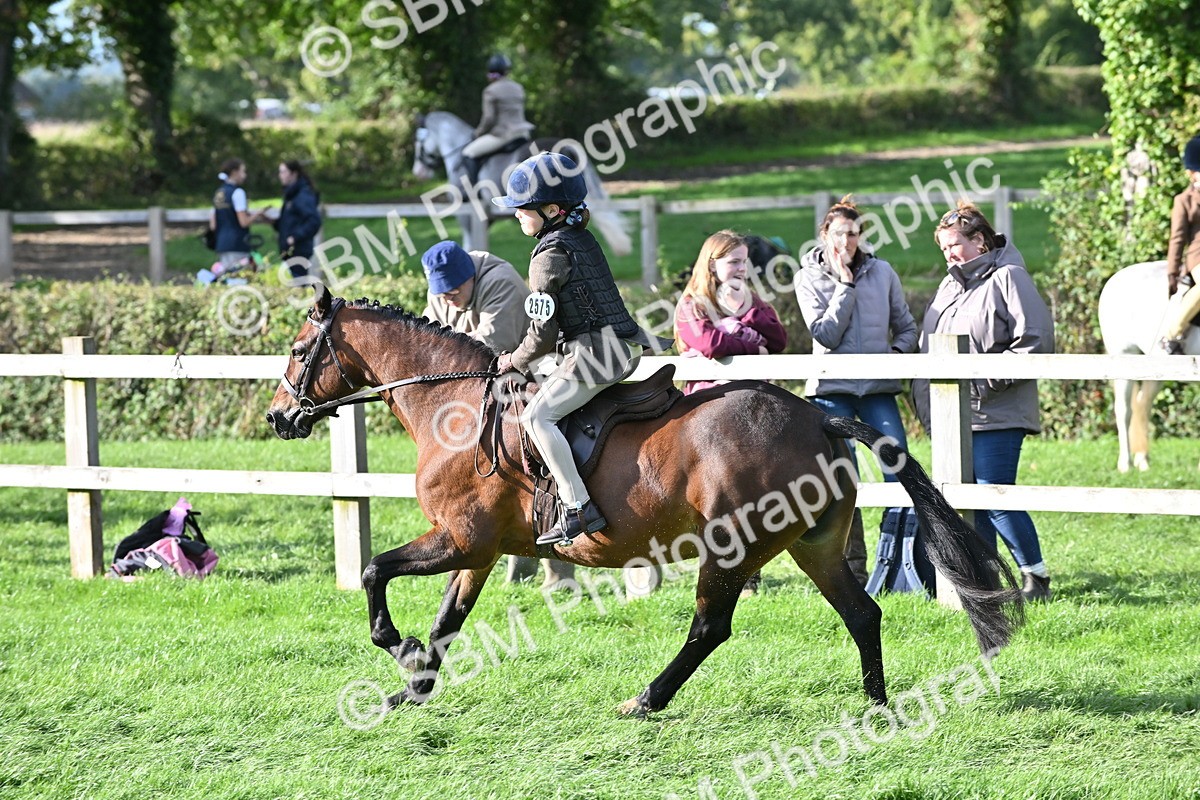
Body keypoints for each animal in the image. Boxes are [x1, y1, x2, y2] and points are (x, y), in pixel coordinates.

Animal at [266, 286, 1023, 716]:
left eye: (301, 350)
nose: (278, 417)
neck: (449, 404)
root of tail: (819, 417)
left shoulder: (459, 540)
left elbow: (375, 572)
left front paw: (397, 647)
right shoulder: (476, 552)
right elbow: (449, 620)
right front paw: (412, 688)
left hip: (733, 547)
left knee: (710, 628)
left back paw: (648, 699)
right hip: (813, 547)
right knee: (862, 613)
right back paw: (876, 704)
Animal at [1098, 260, 1200, 472]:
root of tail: (1115, 278)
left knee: (1142, 404)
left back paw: (1142, 459)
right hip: (1125, 358)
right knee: (1124, 411)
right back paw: (1125, 463)